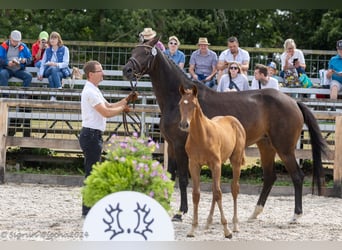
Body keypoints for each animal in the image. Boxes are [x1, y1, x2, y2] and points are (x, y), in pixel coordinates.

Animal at [179, 84, 246, 238]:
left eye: (193, 105)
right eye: (180, 104)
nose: (184, 124)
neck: (201, 136)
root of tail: (235, 121)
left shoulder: (215, 164)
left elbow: (218, 193)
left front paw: (227, 230)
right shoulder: (194, 165)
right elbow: (197, 194)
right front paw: (193, 229)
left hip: (235, 161)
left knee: (234, 189)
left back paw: (235, 225)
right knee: (216, 191)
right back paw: (208, 222)